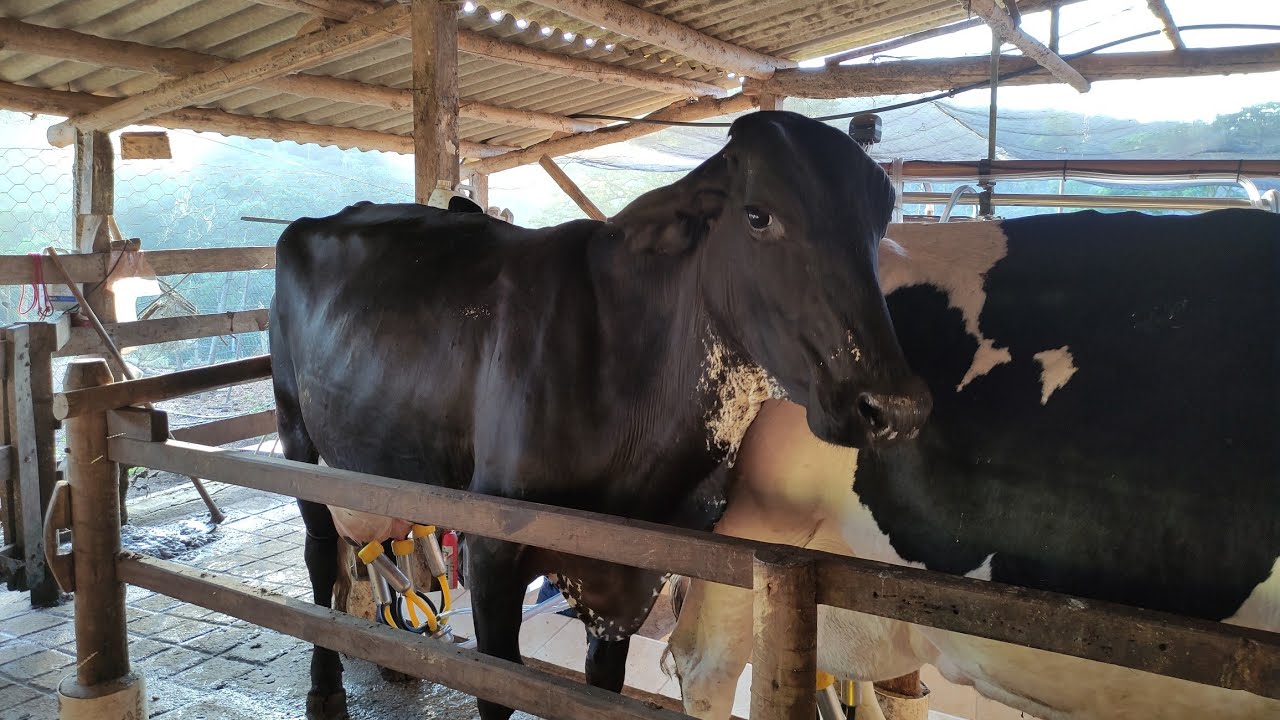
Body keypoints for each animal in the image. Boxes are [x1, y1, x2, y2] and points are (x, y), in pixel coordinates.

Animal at [268, 110, 932, 720]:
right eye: (758, 215)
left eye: (880, 221)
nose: (895, 406)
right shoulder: (491, 547)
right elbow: (498, 688)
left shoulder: (630, 578)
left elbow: (601, 685)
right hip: (296, 433)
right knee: (320, 554)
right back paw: (325, 688)